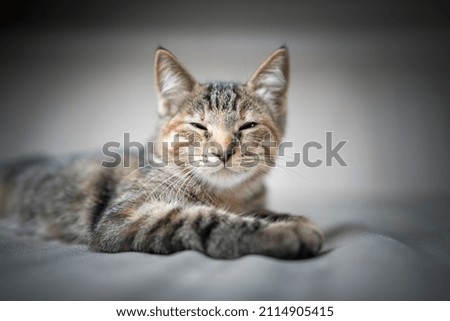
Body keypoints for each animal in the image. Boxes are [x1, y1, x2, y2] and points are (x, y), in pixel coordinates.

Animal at [0, 46, 324, 258]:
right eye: (198, 126)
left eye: (248, 126)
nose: (223, 151)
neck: (223, 194)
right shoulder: (122, 217)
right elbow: (202, 219)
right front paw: (282, 231)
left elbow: (254, 210)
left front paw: (286, 217)